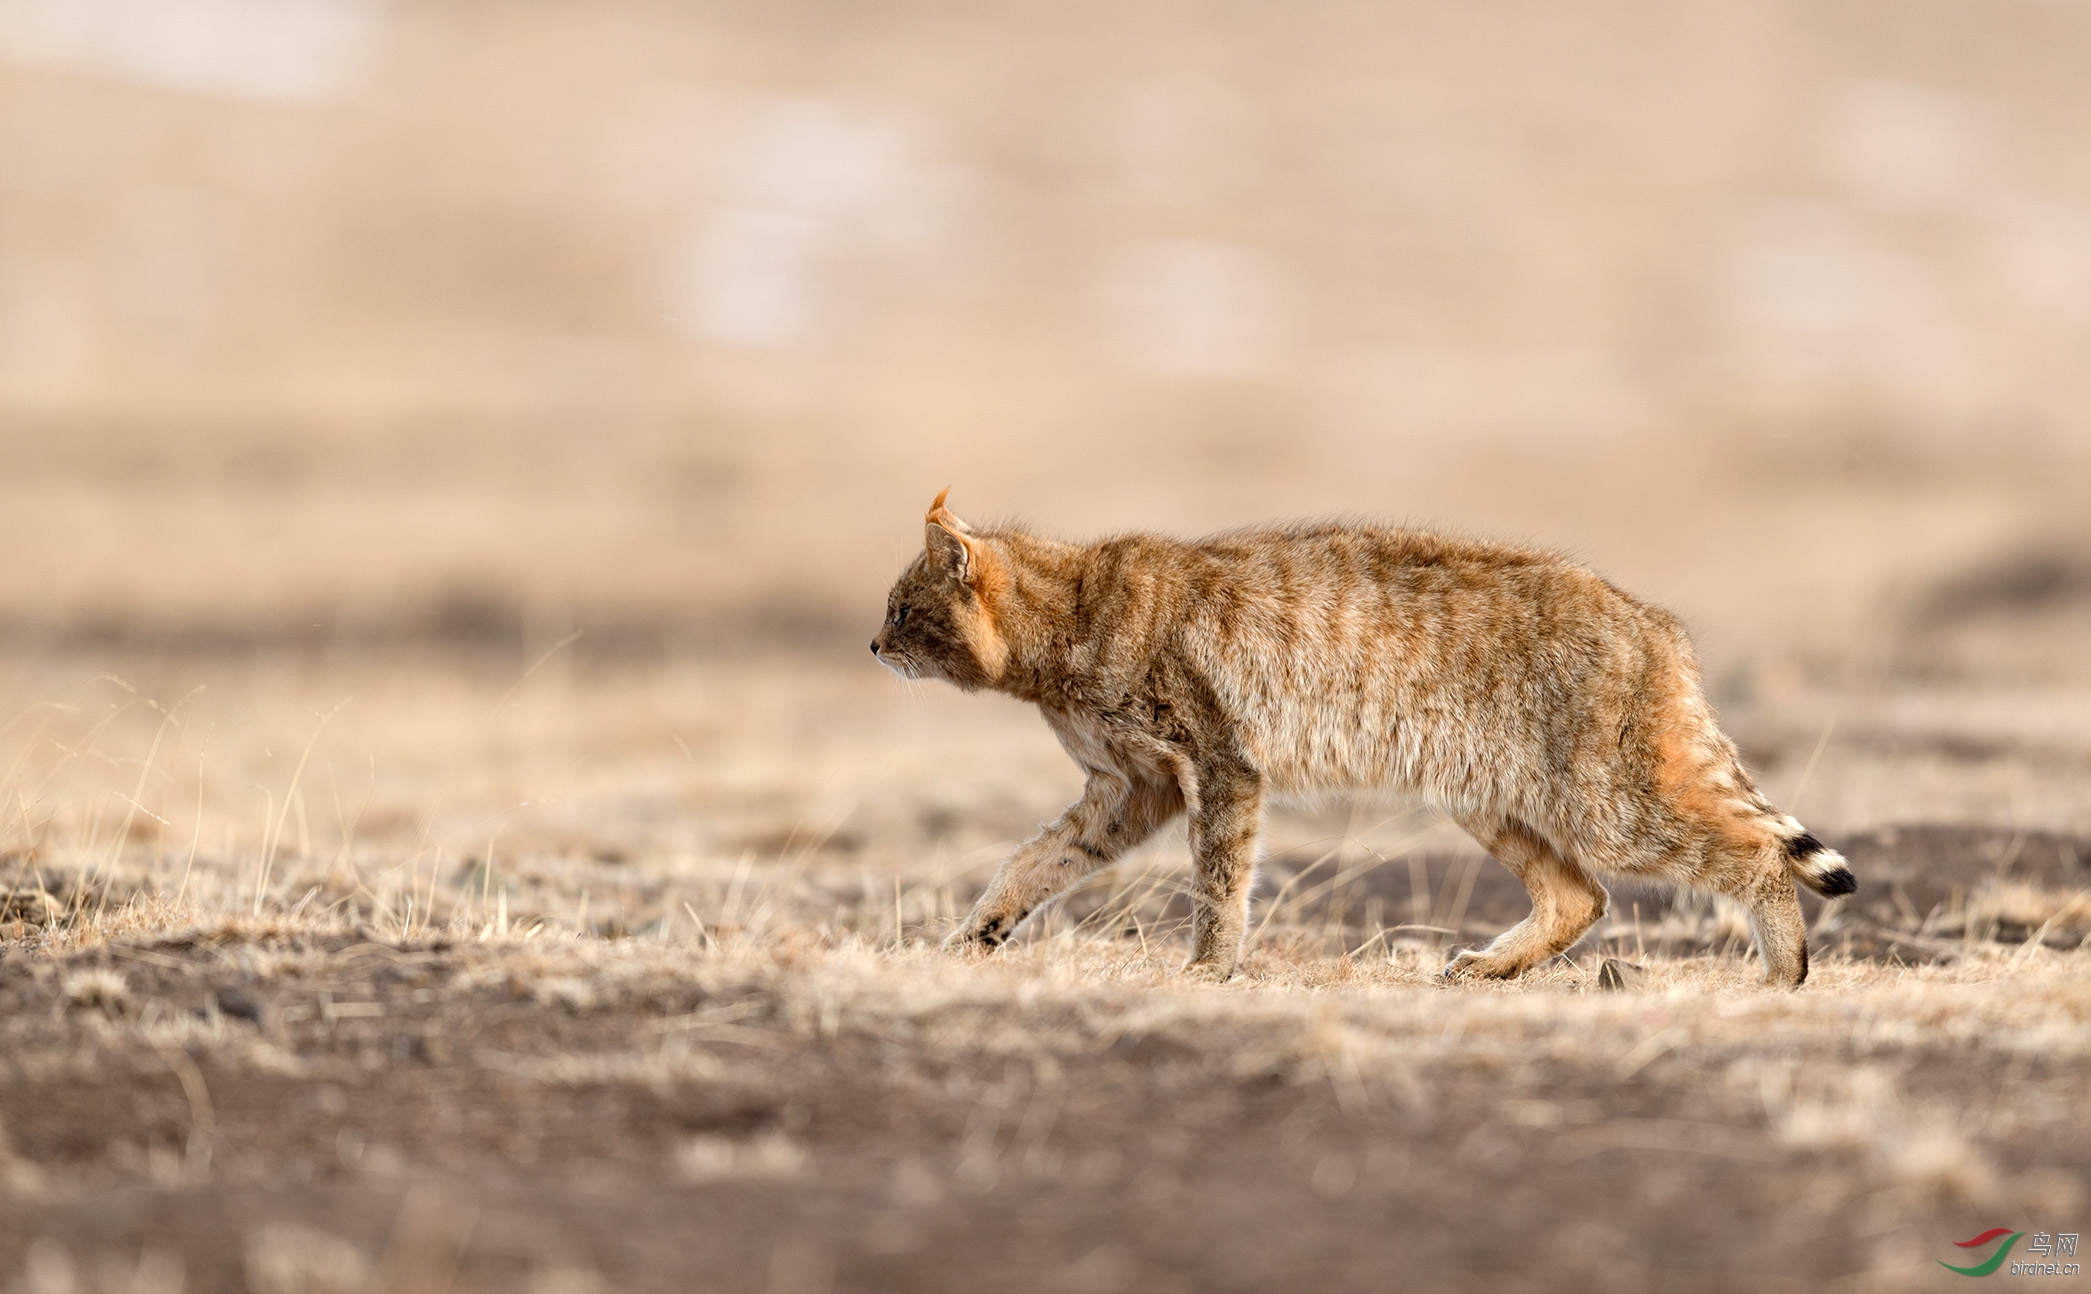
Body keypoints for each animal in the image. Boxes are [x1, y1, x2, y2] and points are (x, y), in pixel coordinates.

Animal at [874, 491, 1856, 986]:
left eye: (902, 607)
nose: (874, 645)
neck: (1065, 620)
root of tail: (1656, 625)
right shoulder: (1130, 790)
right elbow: (1032, 861)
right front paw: (971, 940)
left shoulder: (1219, 766)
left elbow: (1217, 884)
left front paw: (1207, 971)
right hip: (1487, 796)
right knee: (1579, 897)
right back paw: (1491, 968)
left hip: (1608, 803)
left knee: (1749, 857)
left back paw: (1783, 970)